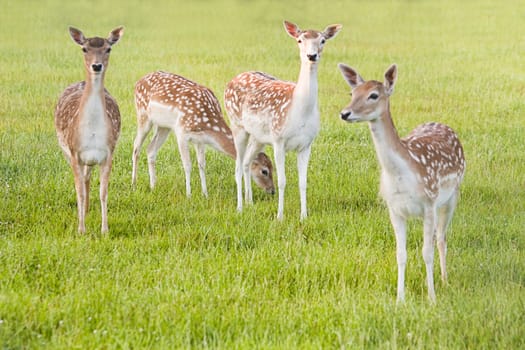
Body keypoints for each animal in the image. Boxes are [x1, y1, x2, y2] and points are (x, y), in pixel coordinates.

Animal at [54, 26, 124, 232]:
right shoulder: (74, 152)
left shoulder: (108, 153)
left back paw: (86, 211)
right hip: (67, 152)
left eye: (108, 49)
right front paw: (81, 229)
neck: (92, 132)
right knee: (83, 182)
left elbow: (103, 192)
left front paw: (105, 230)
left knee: (87, 179)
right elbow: (79, 192)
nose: (96, 66)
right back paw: (83, 213)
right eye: (84, 49)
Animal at [131, 71, 274, 197]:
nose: (272, 191)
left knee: (150, 149)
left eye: (272, 168)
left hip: (164, 127)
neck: (208, 124)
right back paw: (134, 184)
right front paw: (189, 195)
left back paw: (153, 185)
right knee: (136, 146)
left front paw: (205, 194)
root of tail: (138, 82)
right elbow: (187, 165)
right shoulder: (181, 132)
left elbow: (201, 165)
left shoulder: (200, 139)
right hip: (143, 115)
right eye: (264, 171)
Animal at [223, 20, 342, 220]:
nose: (312, 56)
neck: (299, 112)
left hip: (259, 137)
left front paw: (304, 216)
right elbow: (282, 181)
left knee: (247, 161)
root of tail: (231, 80)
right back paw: (240, 207)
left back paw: (249, 202)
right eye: (300, 40)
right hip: (237, 125)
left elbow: (303, 182)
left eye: (323, 40)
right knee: (238, 166)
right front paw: (280, 216)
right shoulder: (279, 140)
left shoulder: (306, 144)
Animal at [338, 63, 464, 304]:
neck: (401, 174)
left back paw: (444, 280)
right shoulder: (394, 208)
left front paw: (432, 297)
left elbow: (426, 252)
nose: (344, 113)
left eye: (373, 95)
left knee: (441, 238)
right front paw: (400, 299)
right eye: (352, 93)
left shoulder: (428, 202)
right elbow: (401, 253)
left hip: (452, 194)